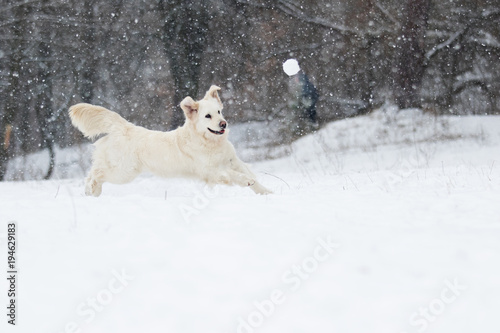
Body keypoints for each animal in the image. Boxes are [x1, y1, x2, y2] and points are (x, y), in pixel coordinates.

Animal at [69, 84, 272, 196]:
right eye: (208, 116)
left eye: (219, 111)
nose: (223, 123)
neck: (210, 143)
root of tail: (124, 126)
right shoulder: (211, 170)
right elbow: (234, 175)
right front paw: (247, 181)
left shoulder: (233, 160)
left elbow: (248, 173)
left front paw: (267, 192)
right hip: (123, 172)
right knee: (96, 174)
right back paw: (91, 190)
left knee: (93, 171)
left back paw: (91, 192)